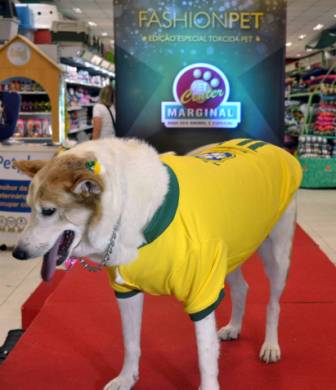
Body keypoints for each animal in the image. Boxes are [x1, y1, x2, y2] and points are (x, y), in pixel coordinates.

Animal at [13, 138, 302, 390]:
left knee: (274, 304)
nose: (17, 253)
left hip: (276, 255)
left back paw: (270, 345)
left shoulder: (202, 293)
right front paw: (127, 378)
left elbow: (206, 356)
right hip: (231, 252)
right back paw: (234, 327)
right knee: (242, 288)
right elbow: (130, 342)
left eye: (48, 211)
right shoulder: (127, 292)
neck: (124, 207)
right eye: (28, 208)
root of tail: (270, 145)